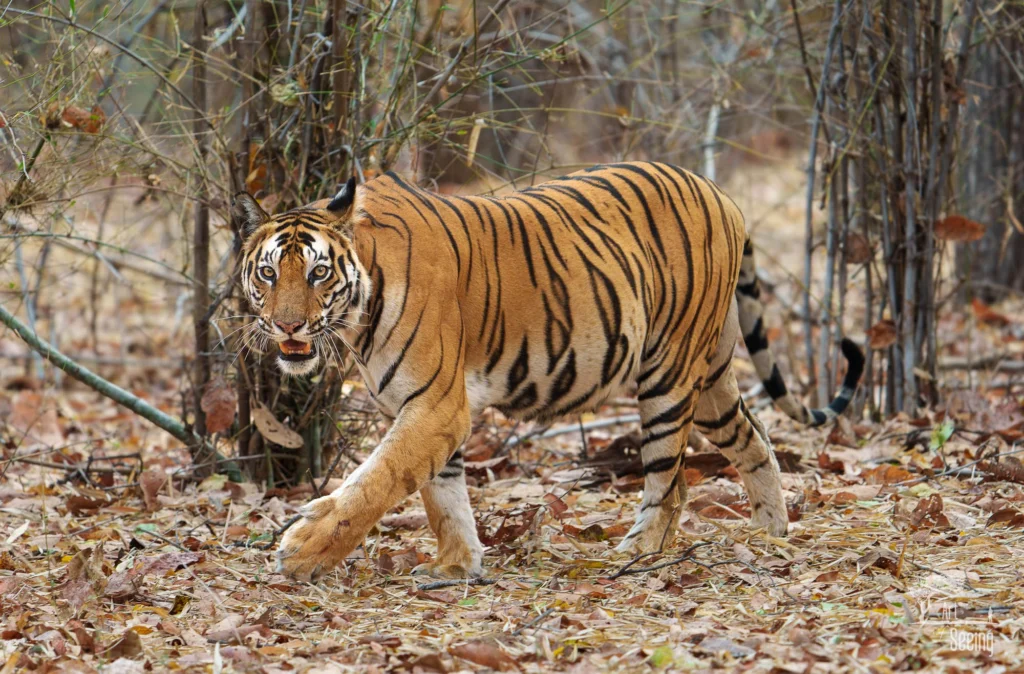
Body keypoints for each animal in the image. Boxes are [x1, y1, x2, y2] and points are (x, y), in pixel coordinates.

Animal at [231, 161, 864, 582]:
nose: (288, 326)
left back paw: (638, 551)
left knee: (672, 480)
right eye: (268, 273)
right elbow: (442, 496)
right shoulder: (428, 409)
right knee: (756, 440)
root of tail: (722, 194)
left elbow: (376, 481)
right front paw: (456, 566)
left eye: (317, 273)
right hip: (710, 379)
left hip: (669, 373)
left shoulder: (437, 404)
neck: (360, 308)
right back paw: (770, 532)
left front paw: (303, 549)